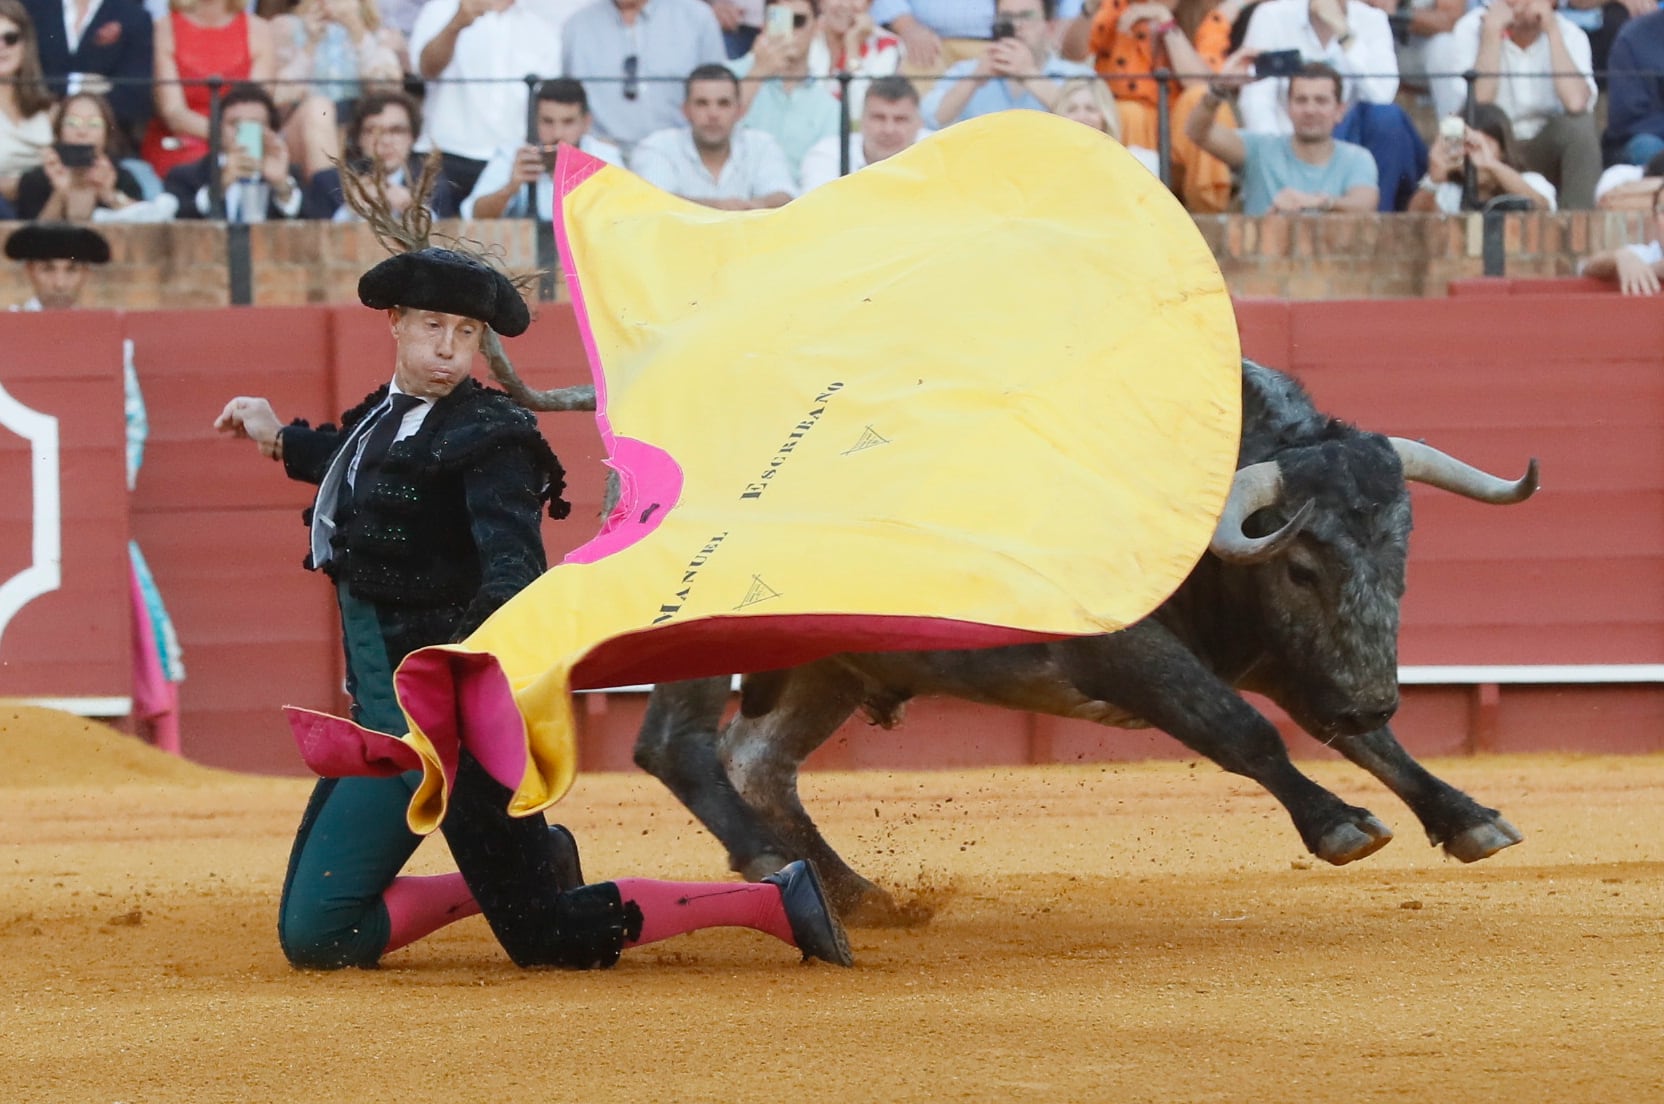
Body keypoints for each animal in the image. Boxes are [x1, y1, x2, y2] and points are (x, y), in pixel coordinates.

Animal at [628, 363, 1537, 925]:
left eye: (1400, 552)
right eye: (1302, 567)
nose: (1372, 698)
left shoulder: (1281, 657)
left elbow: (1369, 744)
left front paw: (1468, 818)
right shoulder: (1127, 654)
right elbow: (1242, 729)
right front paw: (1341, 826)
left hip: (828, 665)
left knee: (759, 762)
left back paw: (856, 895)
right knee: (676, 748)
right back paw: (766, 861)